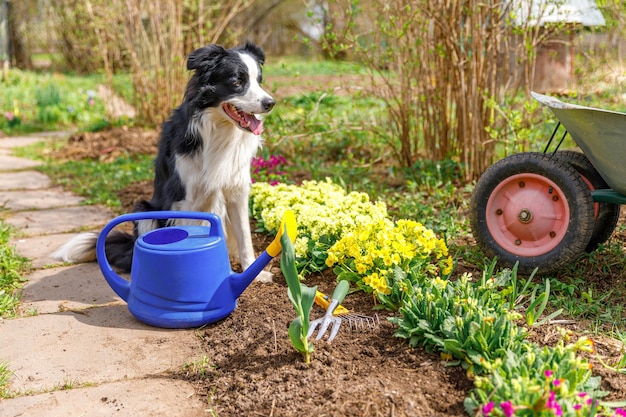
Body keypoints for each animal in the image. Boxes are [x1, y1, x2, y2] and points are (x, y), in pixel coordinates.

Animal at [54, 42, 274, 282]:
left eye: (259, 80)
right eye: (237, 81)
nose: (270, 103)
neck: (218, 131)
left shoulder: (236, 190)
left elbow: (244, 236)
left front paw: (254, 272)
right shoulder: (185, 198)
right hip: (144, 210)